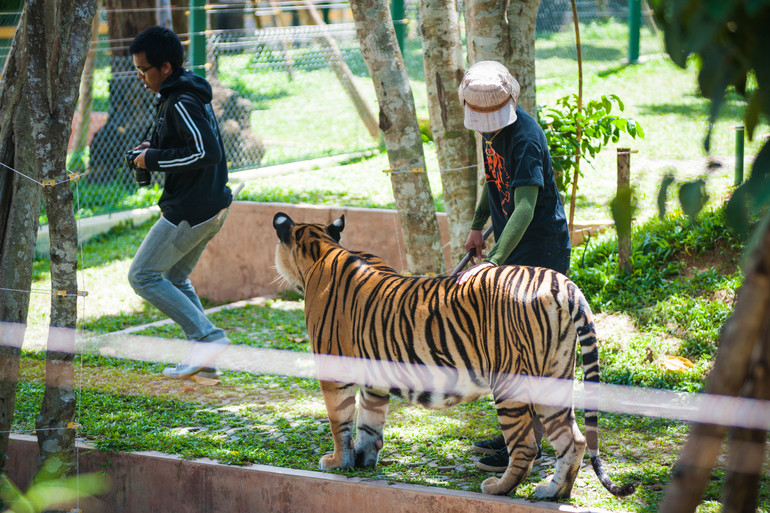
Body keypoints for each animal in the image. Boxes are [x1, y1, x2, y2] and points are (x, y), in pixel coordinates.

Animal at [272, 211, 635, 500]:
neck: (321, 249)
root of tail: (559, 282)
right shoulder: (373, 375)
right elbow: (368, 422)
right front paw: (362, 460)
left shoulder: (334, 368)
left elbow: (341, 421)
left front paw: (337, 462)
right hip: (554, 375)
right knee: (573, 440)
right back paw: (553, 491)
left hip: (510, 382)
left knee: (526, 445)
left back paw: (498, 487)